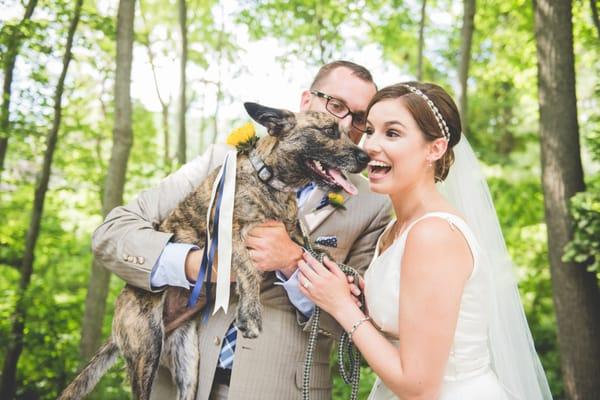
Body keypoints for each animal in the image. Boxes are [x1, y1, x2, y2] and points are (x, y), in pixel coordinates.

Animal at [59, 103, 370, 400]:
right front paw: (251, 315)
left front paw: (339, 271)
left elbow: (311, 251)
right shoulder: (230, 235)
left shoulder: (292, 235)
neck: (269, 181)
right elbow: (248, 268)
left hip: (188, 363)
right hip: (146, 351)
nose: (366, 158)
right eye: (329, 130)